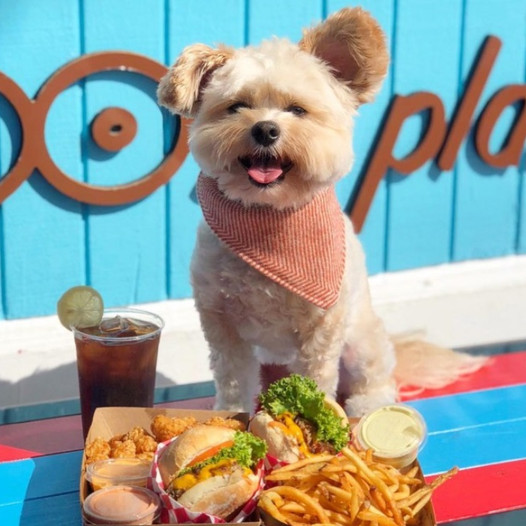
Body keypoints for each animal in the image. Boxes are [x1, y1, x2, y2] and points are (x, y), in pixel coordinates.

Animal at [158, 5, 486, 416]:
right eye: (237, 107)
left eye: (297, 110)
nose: (265, 129)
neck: (270, 220)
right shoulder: (222, 324)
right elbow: (232, 379)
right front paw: (229, 415)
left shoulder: (322, 327)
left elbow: (315, 379)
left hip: (362, 341)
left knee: (375, 378)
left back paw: (369, 404)